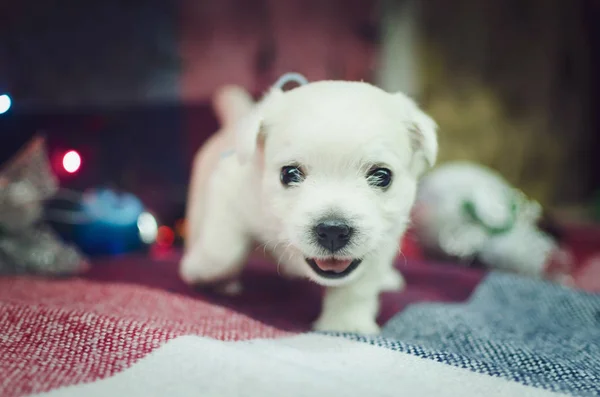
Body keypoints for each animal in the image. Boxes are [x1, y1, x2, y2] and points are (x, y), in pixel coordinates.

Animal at [180, 76, 438, 332]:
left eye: (383, 176)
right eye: (289, 174)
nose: (333, 230)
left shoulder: (384, 238)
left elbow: (358, 286)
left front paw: (346, 325)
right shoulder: (228, 187)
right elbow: (221, 250)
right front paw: (197, 269)